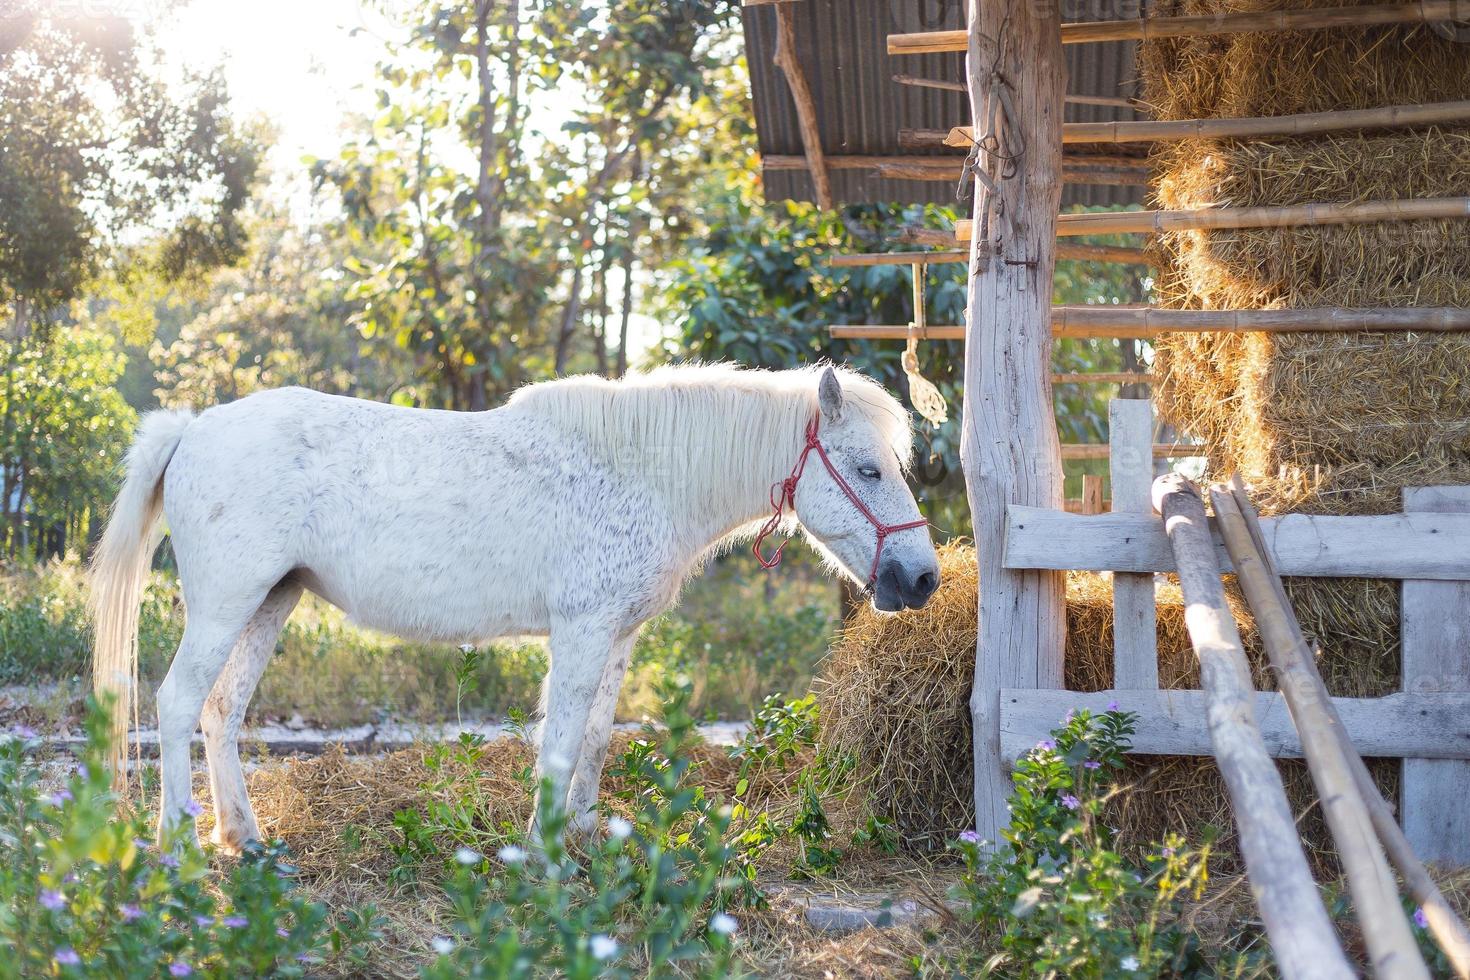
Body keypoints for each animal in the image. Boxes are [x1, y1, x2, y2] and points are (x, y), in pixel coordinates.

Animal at [91, 364, 940, 846]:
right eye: (867, 468)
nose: (923, 579)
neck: (638, 470)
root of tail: (193, 428)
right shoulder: (582, 632)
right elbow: (559, 741)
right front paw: (543, 849)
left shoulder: (616, 637)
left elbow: (595, 736)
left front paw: (585, 834)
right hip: (225, 607)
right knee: (175, 705)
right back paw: (178, 839)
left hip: (270, 602)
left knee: (221, 711)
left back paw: (245, 836)